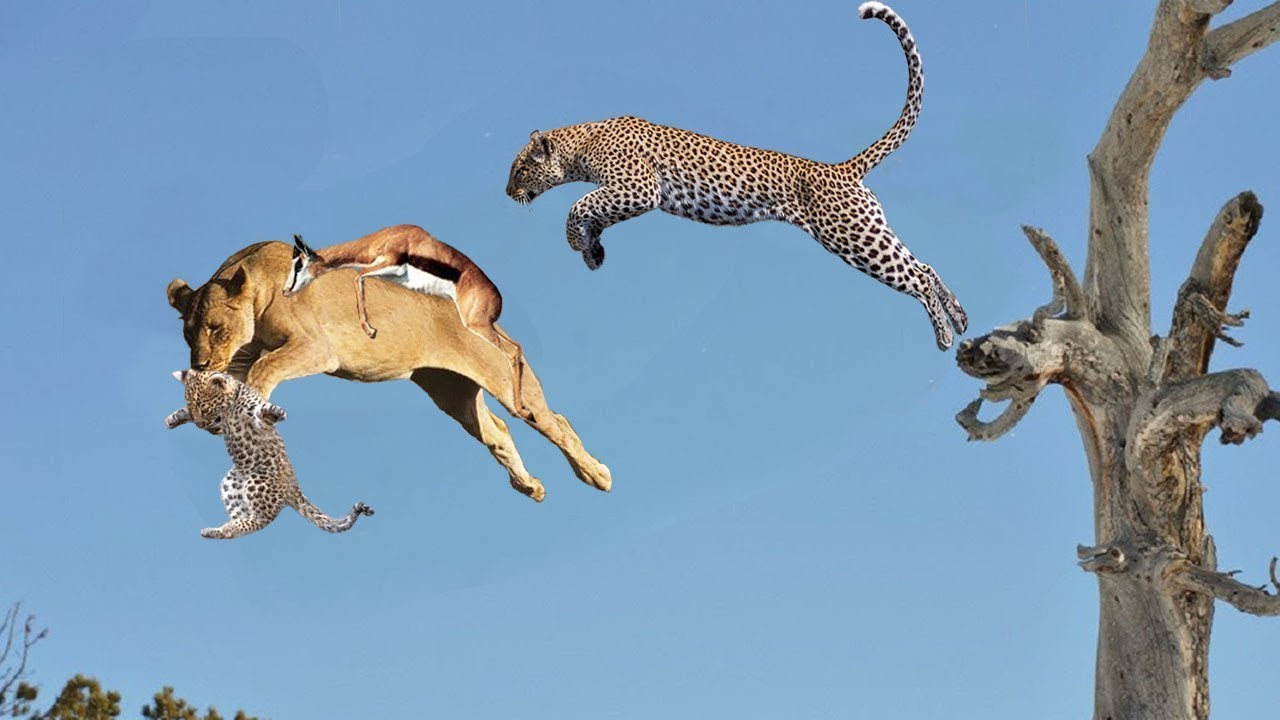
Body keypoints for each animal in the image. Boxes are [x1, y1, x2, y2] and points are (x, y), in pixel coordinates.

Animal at [164, 369, 375, 539]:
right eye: (193, 408)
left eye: (204, 408)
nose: (200, 425)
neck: (230, 407)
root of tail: (292, 486)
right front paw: (173, 418)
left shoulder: (254, 418)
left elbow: (262, 411)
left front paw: (275, 411)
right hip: (231, 485)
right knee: (243, 519)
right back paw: (218, 530)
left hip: (258, 483)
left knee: (260, 520)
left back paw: (220, 529)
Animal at [282, 225, 530, 418]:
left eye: (298, 264)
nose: (285, 290)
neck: (386, 237)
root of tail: (498, 297)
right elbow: (360, 281)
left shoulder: (387, 264)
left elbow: (356, 278)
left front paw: (370, 330)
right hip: (484, 326)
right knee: (517, 348)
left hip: (477, 325)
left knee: (513, 351)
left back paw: (523, 411)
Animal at [505, 1, 966, 350]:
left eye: (519, 168)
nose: (507, 192)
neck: (579, 145)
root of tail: (841, 168)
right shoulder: (625, 193)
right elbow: (594, 212)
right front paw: (593, 250)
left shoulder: (639, 187)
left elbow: (577, 206)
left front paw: (578, 242)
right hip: (869, 227)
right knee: (925, 266)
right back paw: (960, 319)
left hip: (852, 236)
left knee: (916, 276)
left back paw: (945, 335)